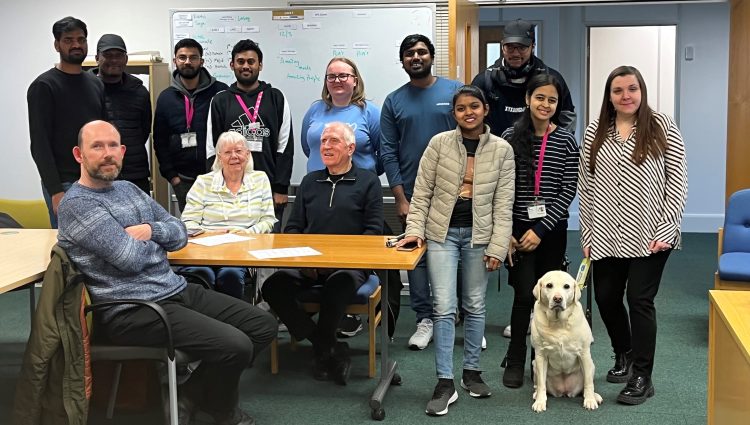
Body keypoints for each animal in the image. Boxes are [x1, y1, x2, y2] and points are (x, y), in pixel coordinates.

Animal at [528, 270, 604, 412]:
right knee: (538, 384)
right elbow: (541, 384)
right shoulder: (540, 355)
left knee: (587, 383)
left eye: (566, 286)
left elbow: (588, 383)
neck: (559, 322)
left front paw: (590, 400)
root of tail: (564, 391)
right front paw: (540, 402)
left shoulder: (584, 353)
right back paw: (536, 395)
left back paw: (595, 396)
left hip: (591, 364)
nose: (558, 299)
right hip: (534, 363)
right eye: (549, 285)